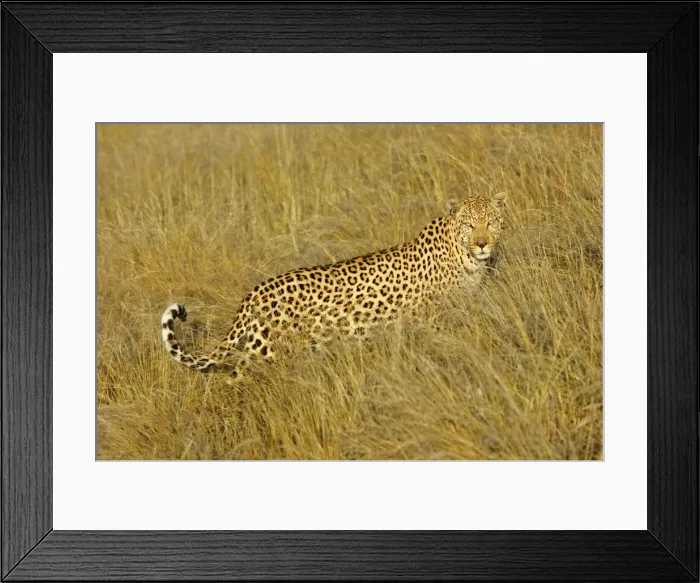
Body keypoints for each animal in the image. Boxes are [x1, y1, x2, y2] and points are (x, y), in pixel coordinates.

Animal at [161, 192, 506, 378]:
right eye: (470, 225)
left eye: (490, 223)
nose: (482, 243)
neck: (464, 255)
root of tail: (253, 294)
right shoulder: (435, 318)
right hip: (272, 355)